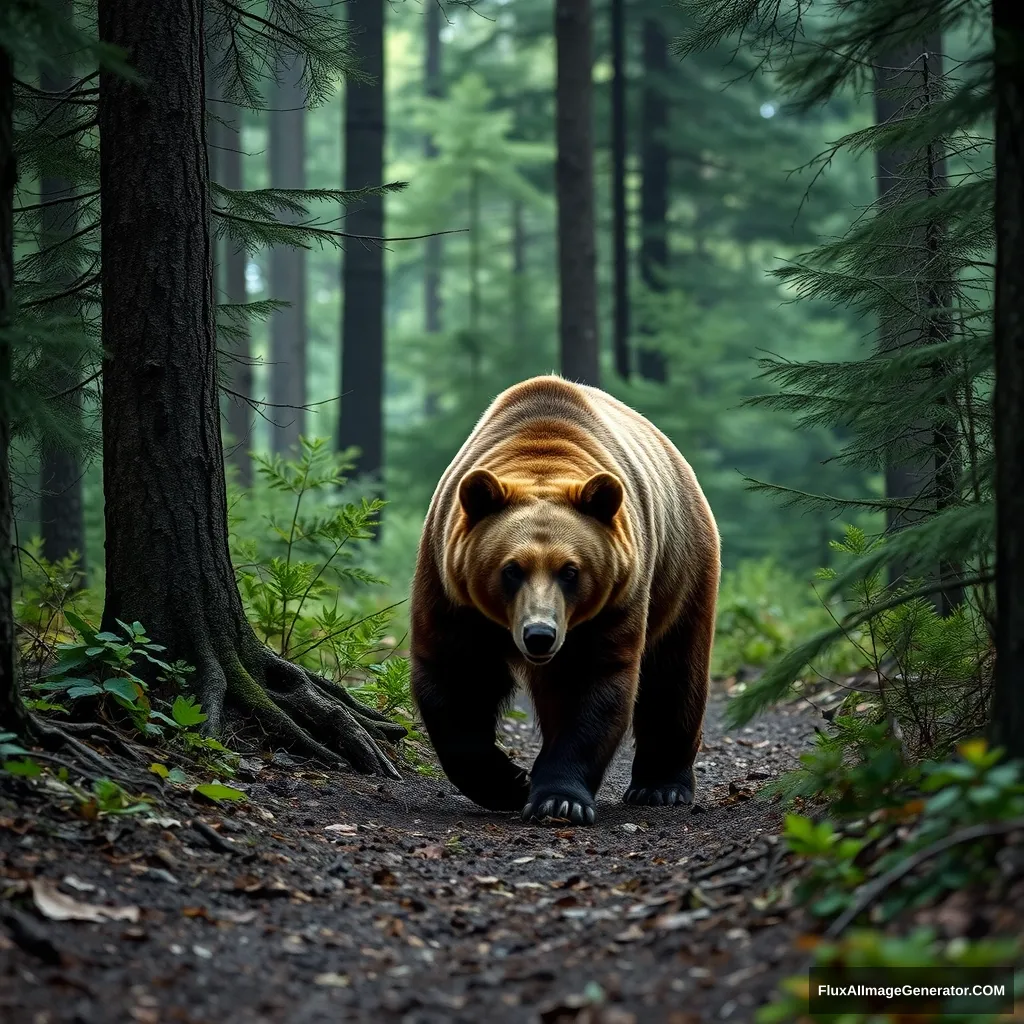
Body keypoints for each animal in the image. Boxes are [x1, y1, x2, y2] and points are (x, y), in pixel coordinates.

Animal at [407, 376, 720, 823]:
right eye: (511, 569)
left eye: (570, 571)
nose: (539, 634)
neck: (543, 458)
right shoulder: (450, 586)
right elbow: (457, 675)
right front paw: (509, 782)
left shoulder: (615, 599)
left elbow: (590, 682)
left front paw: (560, 798)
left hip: (682, 569)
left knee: (675, 672)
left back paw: (661, 786)